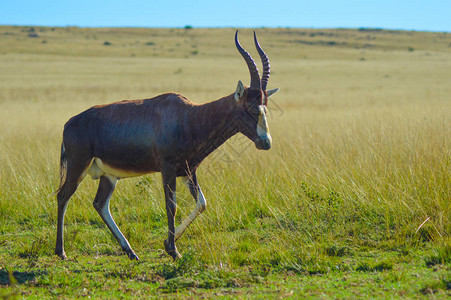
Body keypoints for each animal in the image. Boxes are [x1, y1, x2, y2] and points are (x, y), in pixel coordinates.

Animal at [54, 31, 278, 260]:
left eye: (265, 107)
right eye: (251, 107)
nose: (265, 142)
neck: (189, 116)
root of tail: (68, 124)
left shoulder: (188, 171)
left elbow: (202, 203)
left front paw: (167, 243)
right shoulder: (167, 169)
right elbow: (172, 206)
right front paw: (173, 250)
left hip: (109, 176)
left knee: (100, 203)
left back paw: (130, 251)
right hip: (78, 167)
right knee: (63, 196)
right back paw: (61, 252)